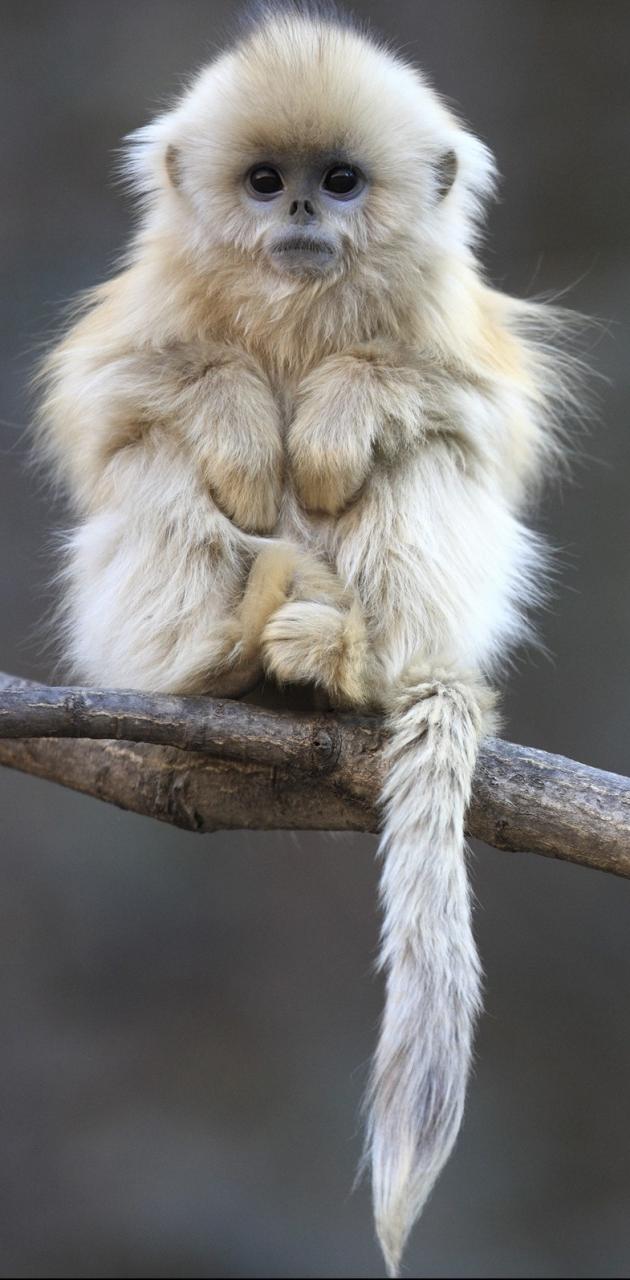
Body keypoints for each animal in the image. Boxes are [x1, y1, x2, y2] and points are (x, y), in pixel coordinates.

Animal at [36, 7, 578, 1275]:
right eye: (263, 180)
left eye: (340, 181)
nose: (298, 215)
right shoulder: (143, 317)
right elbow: (114, 405)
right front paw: (242, 424)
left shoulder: (454, 331)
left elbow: (468, 412)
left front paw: (333, 420)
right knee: (153, 459)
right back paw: (227, 653)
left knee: (429, 458)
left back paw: (348, 662)